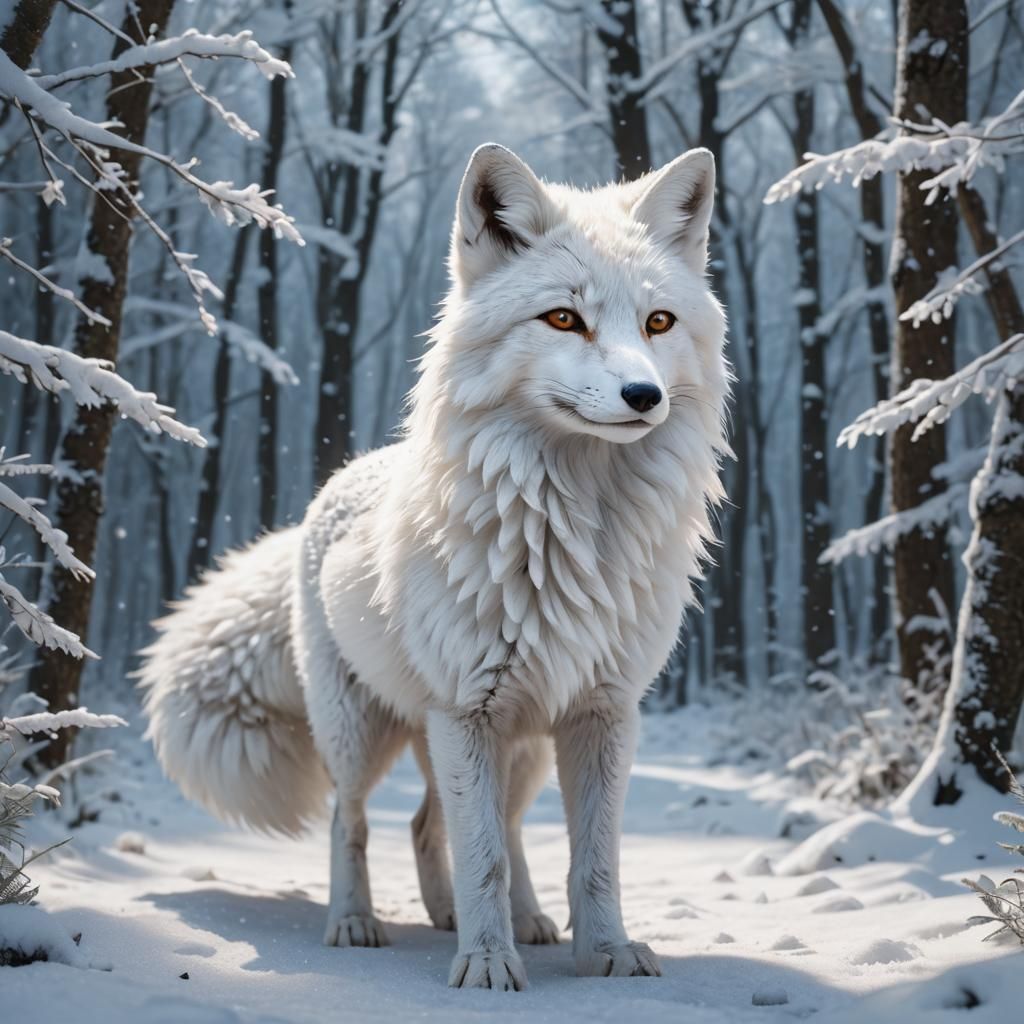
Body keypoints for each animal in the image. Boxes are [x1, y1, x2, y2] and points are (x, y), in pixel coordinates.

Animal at [140, 143, 730, 990]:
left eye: (658, 322)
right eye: (564, 318)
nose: (643, 394)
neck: (575, 532)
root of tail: (339, 482)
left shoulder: (602, 713)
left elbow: (593, 860)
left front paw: (607, 953)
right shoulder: (468, 711)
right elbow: (479, 855)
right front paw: (486, 967)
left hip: (516, 751)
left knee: (447, 825)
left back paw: (506, 921)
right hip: (364, 736)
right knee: (353, 822)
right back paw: (358, 924)